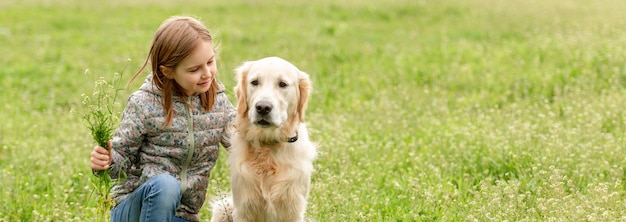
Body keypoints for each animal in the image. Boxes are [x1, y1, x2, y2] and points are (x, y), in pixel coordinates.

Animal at [211, 56, 316, 222]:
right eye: (254, 82)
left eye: (283, 84)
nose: (263, 107)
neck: (268, 146)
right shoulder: (243, 209)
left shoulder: (293, 209)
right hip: (223, 208)